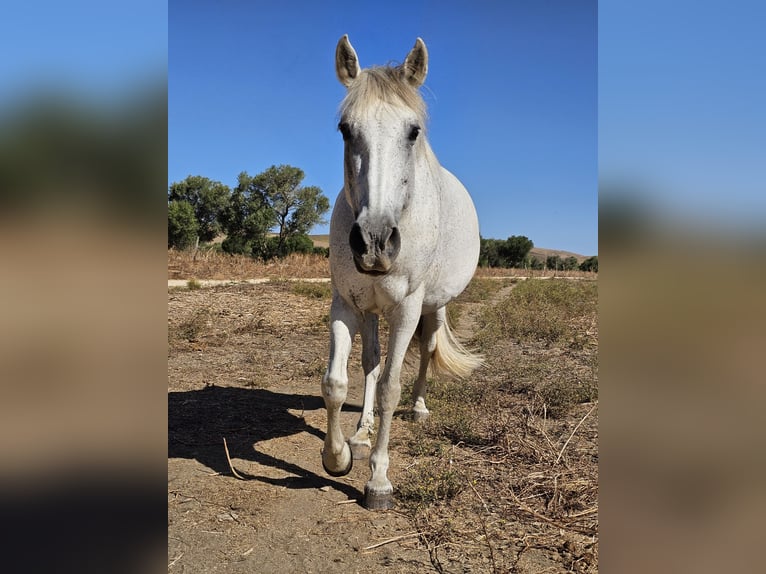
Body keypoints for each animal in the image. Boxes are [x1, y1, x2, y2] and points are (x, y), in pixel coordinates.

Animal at [320, 35, 484, 512]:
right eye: (345, 129)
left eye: (413, 131)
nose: (374, 240)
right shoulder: (346, 304)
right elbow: (337, 382)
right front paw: (339, 456)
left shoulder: (407, 308)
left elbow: (391, 386)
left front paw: (378, 480)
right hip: (373, 312)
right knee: (371, 364)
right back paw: (361, 433)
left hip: (433, 308)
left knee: (425, 354)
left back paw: (420, 408)